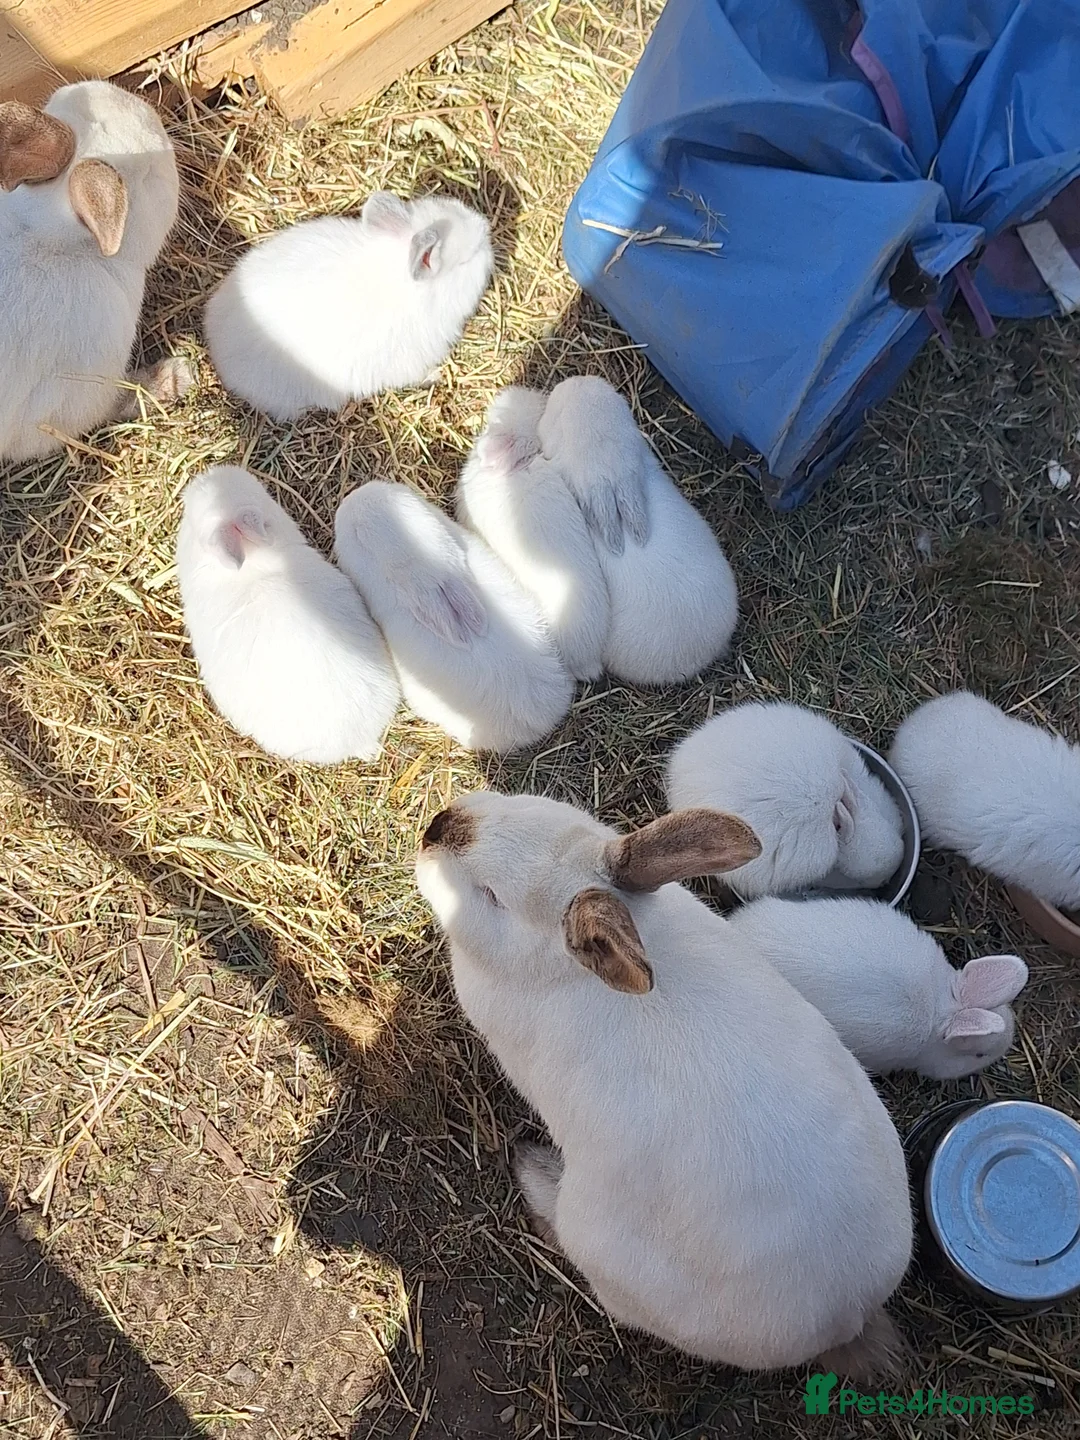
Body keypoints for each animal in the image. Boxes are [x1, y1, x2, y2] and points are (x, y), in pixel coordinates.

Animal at [416, 792, 913, 1378]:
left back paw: (531, 1169)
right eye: (532, 807)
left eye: (492, 897)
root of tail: (849, 1318)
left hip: (593, 1236)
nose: (437, 826)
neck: (555, 966)